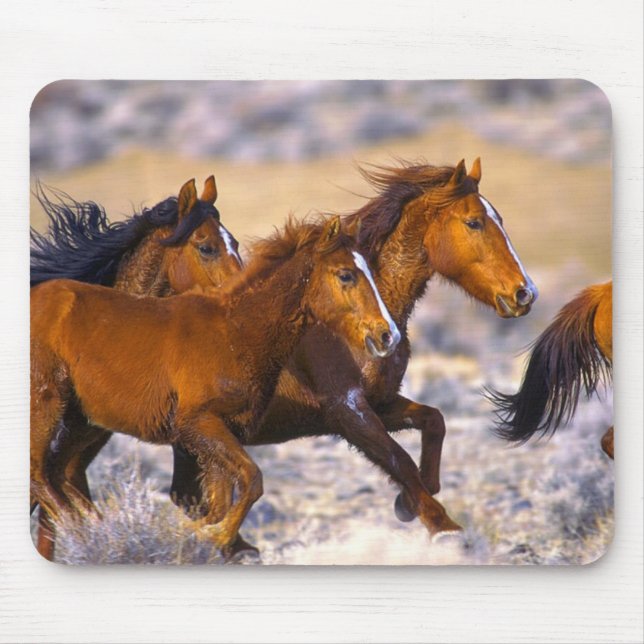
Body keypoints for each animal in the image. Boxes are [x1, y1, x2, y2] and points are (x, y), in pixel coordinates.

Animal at [30, 216, 419, 560]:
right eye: (346, 274)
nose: (387, 335)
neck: (234, 333)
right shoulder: (198, 425)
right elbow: (252, 480)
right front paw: (211, 535)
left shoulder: (220, 436)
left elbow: (224, 497)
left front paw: (208, 537)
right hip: (48, 406)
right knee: (40, 475)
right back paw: (88, 534)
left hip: (81, 422)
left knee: (57, 474)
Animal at [169, 158, 539, 548]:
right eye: (474, 222)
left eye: (499, 219)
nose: (525, 293)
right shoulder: (346, 409)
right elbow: (399, 459)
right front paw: (442, 527)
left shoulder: (379, 402)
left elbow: (433, 421)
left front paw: (410, 501)